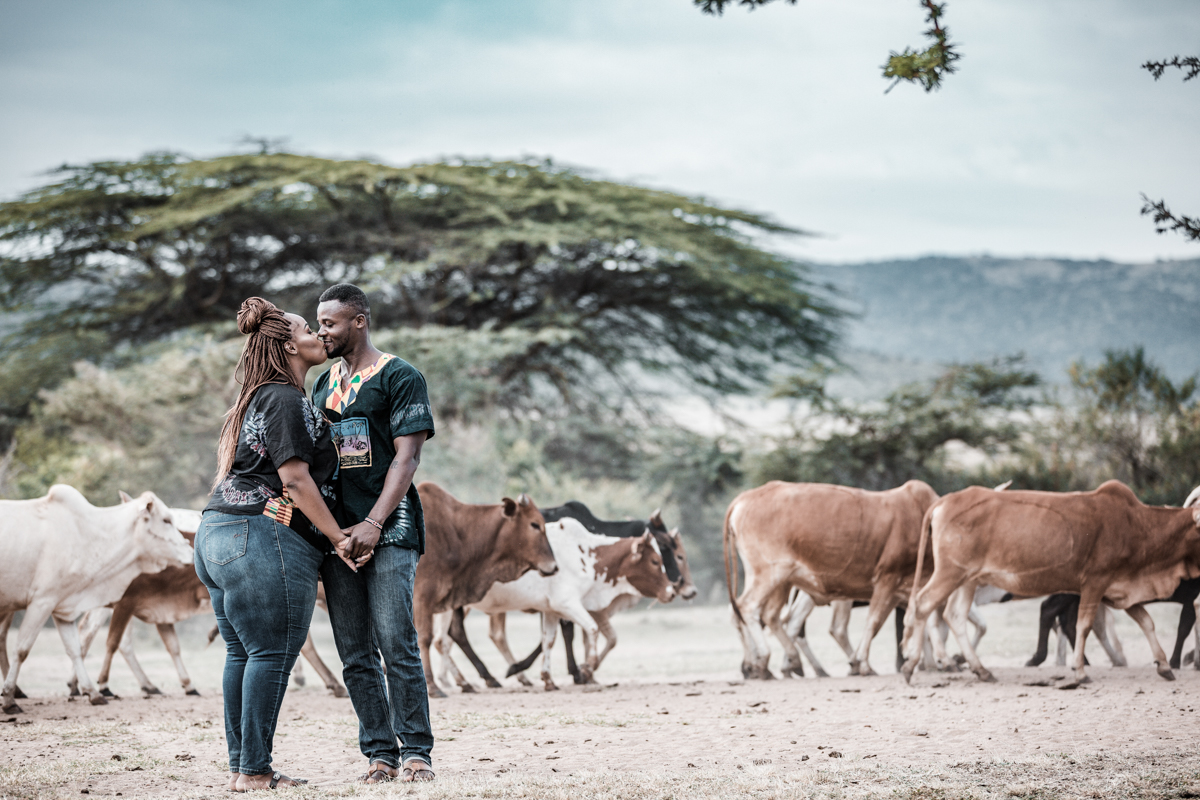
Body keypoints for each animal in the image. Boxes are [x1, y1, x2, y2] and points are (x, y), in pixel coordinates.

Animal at [417, 484, 556, 695]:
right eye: (535, 524)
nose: (554, 566)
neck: (457, 533)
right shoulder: (422, 598)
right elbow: (424, 638)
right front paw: (432, 686)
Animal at [432, 522, 676, 690]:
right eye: (655, 561)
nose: (671, 591)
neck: (585, 553)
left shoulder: (550, 610)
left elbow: (548, 640)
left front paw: (548, 679)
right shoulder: (568, 604)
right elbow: (591, 629)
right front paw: (587, 669)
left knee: (450, 637)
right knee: (441, 641)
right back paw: (466, 682)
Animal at [720, 479, 936, 681]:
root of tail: (747, 497)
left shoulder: (906, 591)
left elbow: (919, 620)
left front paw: (926, 662)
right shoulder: (888, 577)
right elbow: (874, 622)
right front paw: (864, 663)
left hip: (778, 580)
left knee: (766, 615)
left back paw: (782, 662)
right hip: (769, 574)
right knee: (749, 609)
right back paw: (764, 661)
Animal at [902, 482, 1200, 690]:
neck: (1137, 525)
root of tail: (947, 499)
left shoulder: (1121, 590)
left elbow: (1147, 622)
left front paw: (1164, 666)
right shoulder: (1094, 582)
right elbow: (1083, 626)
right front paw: (1080, 671)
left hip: (969, 579)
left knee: (954, 616)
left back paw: (981, 670)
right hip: (950, 573)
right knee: (922, 606)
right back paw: (910, 666)